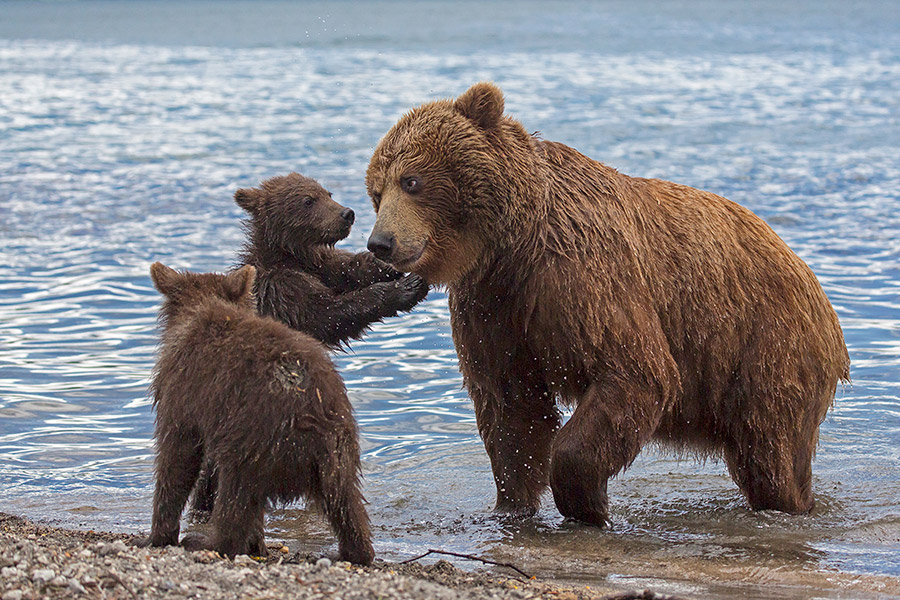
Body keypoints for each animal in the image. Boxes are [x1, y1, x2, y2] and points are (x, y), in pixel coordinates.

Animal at [366, 81, 852, 524]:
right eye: (375, 191)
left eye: (411, 181)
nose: (380, 243)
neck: (514, 244)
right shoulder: (493, 305)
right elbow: (512, 407)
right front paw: (512, 505)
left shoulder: (582, 277)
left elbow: (636, 372)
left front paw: (585, 502)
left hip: (765, 344)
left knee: (772, 453)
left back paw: (793, 504)